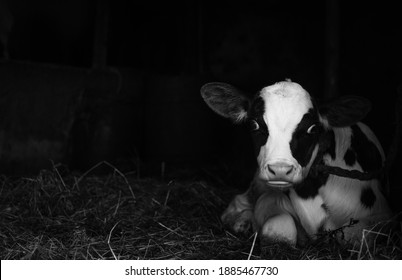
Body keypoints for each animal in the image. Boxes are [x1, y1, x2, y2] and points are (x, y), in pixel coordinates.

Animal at [203, 80, 392, 245]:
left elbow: (355, 236)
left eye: (313, 129)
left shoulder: (379, 216)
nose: (280, 169)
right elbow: (279, 227)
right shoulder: (270, 196)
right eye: (253, 125)